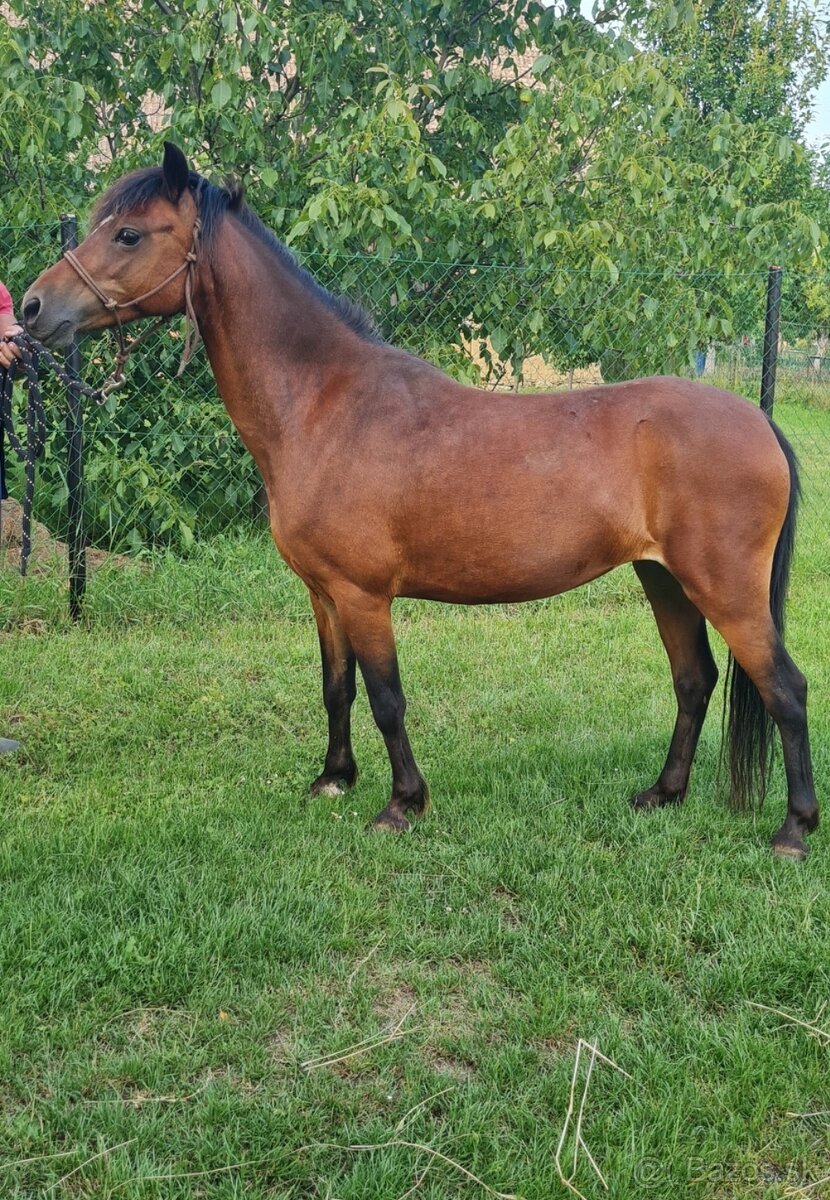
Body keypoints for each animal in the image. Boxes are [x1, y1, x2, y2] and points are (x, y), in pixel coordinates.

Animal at [21, 143, 818, 859]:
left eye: (129, 233)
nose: (30, 308)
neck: (324, 405)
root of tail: (759, 423)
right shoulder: (324, 594)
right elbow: (336, 688)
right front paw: (333, 779)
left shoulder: (364, 594)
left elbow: (386, 698)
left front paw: (402, 804)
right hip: (663, 579)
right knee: (694, 679)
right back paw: (663, 794)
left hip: (725, 588)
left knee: (784, 688)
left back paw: (793, 831)